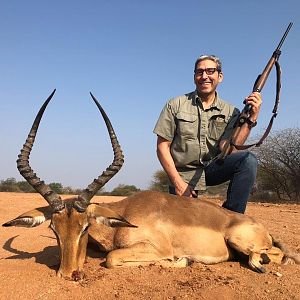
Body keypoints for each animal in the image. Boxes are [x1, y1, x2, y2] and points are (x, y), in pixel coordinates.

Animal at [1, 91, 298, 278]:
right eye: (54, 228)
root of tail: (258, 225)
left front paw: (183, 259)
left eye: (85, 227)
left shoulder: (155, 248)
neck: (126, 215)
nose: (67, 274)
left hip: (238, 239)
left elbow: (112, 258)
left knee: (273, 255)